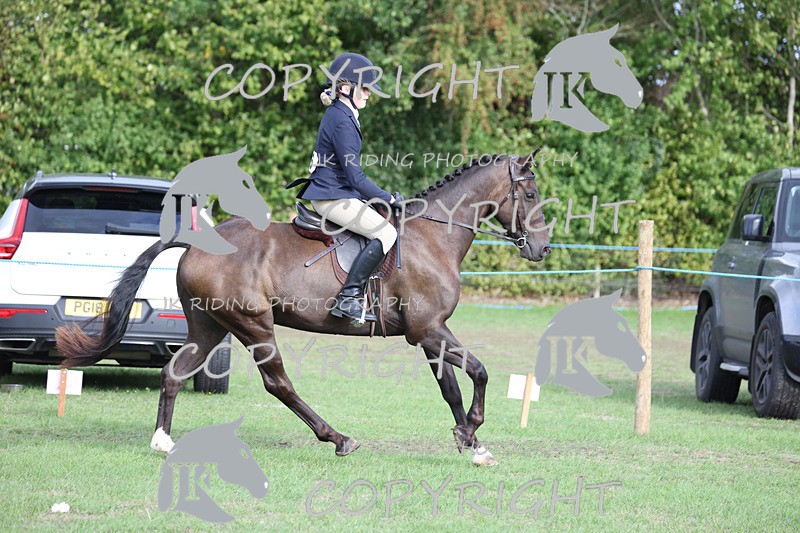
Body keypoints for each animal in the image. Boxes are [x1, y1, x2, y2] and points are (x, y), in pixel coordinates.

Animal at [56, 151, 551, 467]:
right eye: (529, 196)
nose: (543, 249)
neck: (434, 236)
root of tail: (199, 242)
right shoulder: (429, 329)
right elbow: (480, 372)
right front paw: (473, 433)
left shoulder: (429, 332)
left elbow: (451, 388)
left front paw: (471, 442)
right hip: (253, 325)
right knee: (278, 383)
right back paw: (338, 438)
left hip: (209, 325)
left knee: (174, 373)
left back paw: (163, 442)